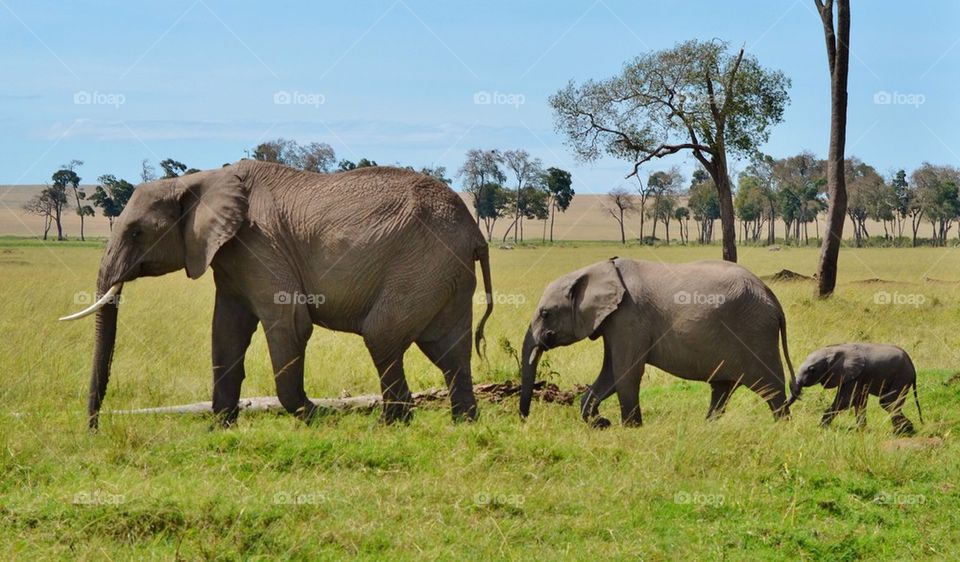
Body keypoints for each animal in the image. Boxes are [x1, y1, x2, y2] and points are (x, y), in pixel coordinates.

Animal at [61, 160, 496, 426]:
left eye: (137, 232)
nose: (93, 428)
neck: (200, 180)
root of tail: (475, 233)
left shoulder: (260, 244)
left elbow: (289, 321)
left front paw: (315, 415)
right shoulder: (231, 257)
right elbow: (226, 331)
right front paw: (220, 427)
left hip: (422, 264)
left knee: (382, 334)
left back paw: (391, 423)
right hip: (445, 274)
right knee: (449, 350)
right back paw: (462, 423)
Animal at [520, 256, 800, 422]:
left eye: (545, 313)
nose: (524, 419)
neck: (598, 269)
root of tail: (773, 300)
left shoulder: (629, 318)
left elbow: (625, 372)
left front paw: (630, 428)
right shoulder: (614, 322)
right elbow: (610, 373)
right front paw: (598, 423)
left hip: (756, 334)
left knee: (771, 387)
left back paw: (781, 427)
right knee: (722, 388)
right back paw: (709, 426)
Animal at [788, 342, 924, 434]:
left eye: (812, 370)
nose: (800, 395)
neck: (833, 350)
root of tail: (912, 366)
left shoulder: (853, 375)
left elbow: (846, 401)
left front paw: (821, 427)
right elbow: (859, 401)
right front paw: (862, 431)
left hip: (901, 376)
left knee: (887, 402)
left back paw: (904, 431)